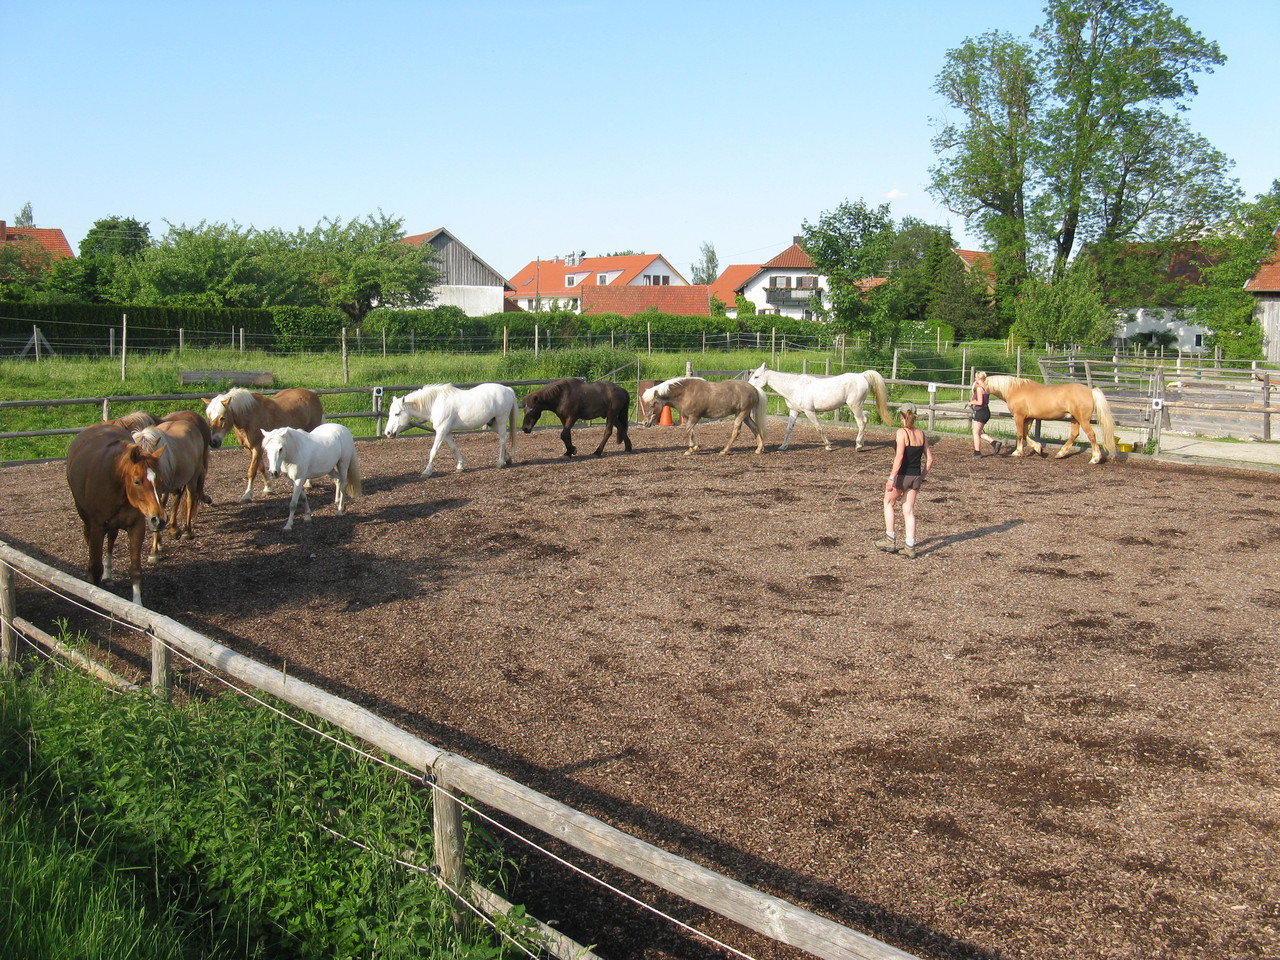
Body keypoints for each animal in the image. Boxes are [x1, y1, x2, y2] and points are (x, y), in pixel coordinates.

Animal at [65, 424, 168, 604]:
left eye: (160, 480)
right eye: (137, 481)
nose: (159, 519)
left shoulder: (136, 527)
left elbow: (135, 569)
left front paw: (137, 604)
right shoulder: (97, 527)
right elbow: (95, 567)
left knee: (111, 540)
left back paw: (108, 574)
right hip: (85, 516)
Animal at [131, 422, 211, 563]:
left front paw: (154, 551)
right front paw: (159, 543)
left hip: (192, 478)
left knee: (190, 500)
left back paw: (186, 531)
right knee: (177, 497)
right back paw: (174, 528)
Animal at [381, 381, 517, 476]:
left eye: (397, 414)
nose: (388, 433)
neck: (435, 404)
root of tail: (508, 389)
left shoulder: (441, 431)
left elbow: (434, 451)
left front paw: (427, 471)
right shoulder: (446, 432)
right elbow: (453, 448)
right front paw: (460, 466)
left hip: (501, 420)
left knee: (502, 440)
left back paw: (500, 462)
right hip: (493, 423)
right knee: (503, 438)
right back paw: (507, 458)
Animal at [747, 363, 896, 455]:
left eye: (756, 376)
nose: (749, 387)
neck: (794, 387)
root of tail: (861, 376)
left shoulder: (809, 412)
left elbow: (819, 427)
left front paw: (828, 446)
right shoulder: (794, 411)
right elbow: (789, 429)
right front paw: (783, 446)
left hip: (855, 406)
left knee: (862, 422)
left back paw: (858, 445)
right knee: (863, 423)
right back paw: (861, 443)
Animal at [983, 376, 1116, 465]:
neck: (1015, 389)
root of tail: (1090, 391)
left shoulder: (1019, 416)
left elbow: (1020, 434)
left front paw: (1017, 452)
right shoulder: (1029, 418)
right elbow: (1025, 434)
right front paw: (1038, 449)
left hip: (1082, 419)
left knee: (1091, 435)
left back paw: (1094, 459)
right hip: (1075, 419)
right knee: (1074, 434)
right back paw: (1060, 454)